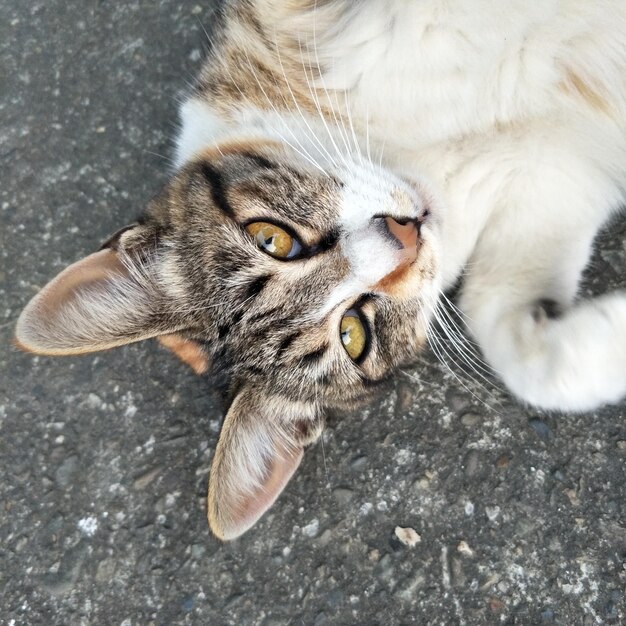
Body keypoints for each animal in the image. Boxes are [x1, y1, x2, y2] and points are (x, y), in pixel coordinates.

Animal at [13, 0, 624, 536]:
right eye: (356, 332)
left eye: (273, 240)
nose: (404, 234)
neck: (435, 156)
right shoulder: (551, 171)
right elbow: (506, 331)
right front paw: (608, 343)